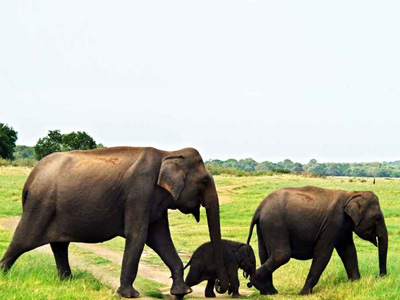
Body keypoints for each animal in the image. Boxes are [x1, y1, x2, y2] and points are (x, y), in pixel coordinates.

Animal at [0, 146, 228, 298]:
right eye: (204, 181)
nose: (219, 286)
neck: (168, 152)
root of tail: (30, 177)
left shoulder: (155, 202)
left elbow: (161, 239)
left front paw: (181, 292)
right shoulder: (139, 193)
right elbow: (138, 236)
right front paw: (130, 294)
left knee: (59, 245)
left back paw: (68, 281)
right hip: (40, 205)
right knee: (22, 241)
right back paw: (4, 276)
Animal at [247, 186, 388, 294]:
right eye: (377, 218)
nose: (378, 276)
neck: (352, 193)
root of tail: (260, 208)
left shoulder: (344, 226)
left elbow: (348, 251)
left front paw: (355, 283)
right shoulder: (332, 223)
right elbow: (323, 254)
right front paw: (303, 293)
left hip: (264, 226)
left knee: (264, 254)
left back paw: (269, 291)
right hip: (275, 223)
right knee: (281, 256)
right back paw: (255, 282)